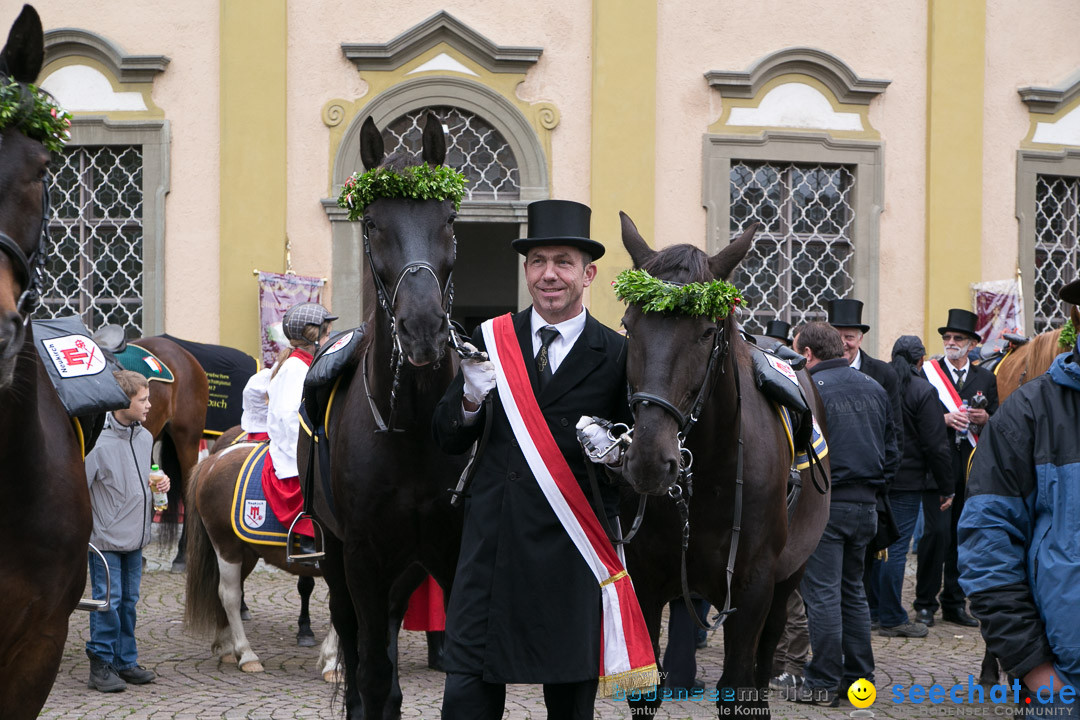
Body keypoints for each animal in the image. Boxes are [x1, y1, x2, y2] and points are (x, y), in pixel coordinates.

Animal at [295, 115, 464, 716]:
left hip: (405, 568)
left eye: (448, 218)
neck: (412, 427)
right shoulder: (363, 557)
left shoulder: (449, 550)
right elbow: (368, 673)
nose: (423, 329)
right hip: (340, 558)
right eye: (372, 223)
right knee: (357, 646)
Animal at [613, 215, 829, 720]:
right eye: (630, 325)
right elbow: (647, 687)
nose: (650, 459)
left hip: (789, 577)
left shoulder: (752, 590)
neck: (709, 479)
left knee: (764, 658)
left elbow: (739, 687)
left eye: (707, 332)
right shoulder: (646, 583)